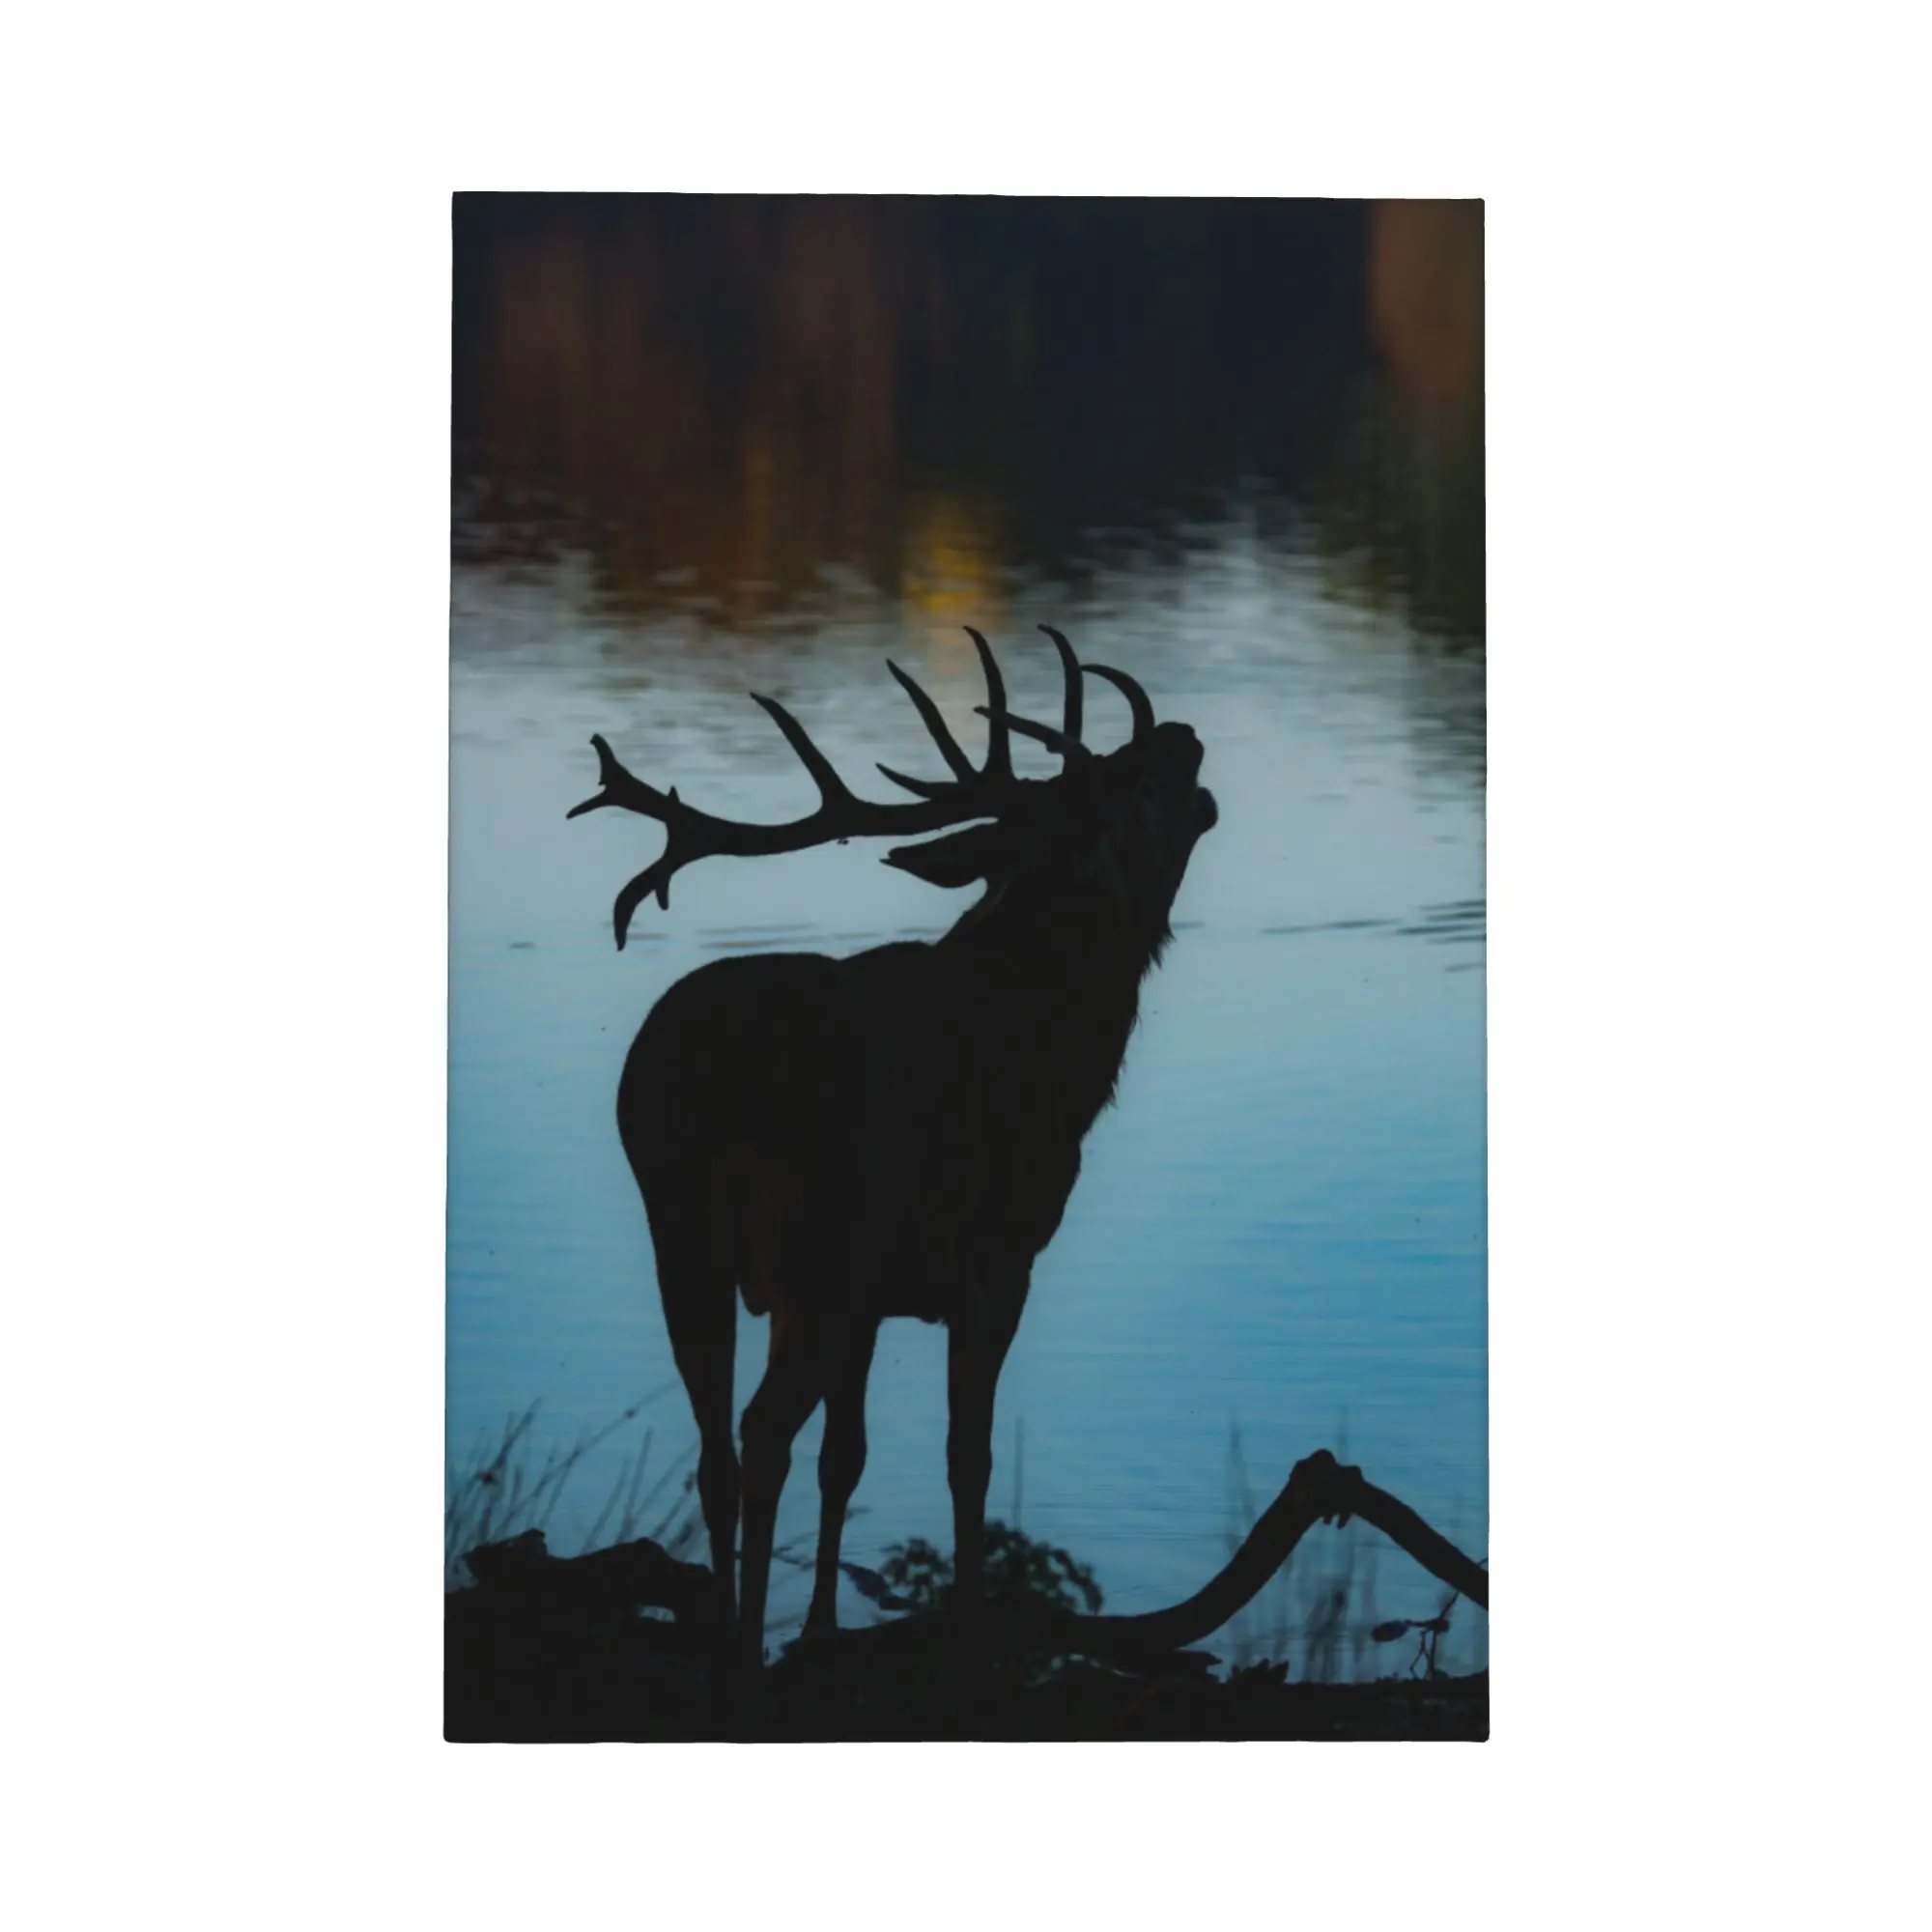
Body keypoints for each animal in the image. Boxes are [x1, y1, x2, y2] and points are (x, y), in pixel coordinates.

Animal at [569, 626, 1217, 1676]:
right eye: (1130, 785)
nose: (1186, 738)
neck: (1060, 1054)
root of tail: (700, 1088)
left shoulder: (876, 1293)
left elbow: (848, 1457)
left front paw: (822, 1628)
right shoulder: (996, 1257)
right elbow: (967, 1454)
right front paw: (966, 1621)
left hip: (684, 1243)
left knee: (717, 1447)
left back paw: (729, 1638)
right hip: (813, 1248)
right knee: (760, 1431)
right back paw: (741, 1645)